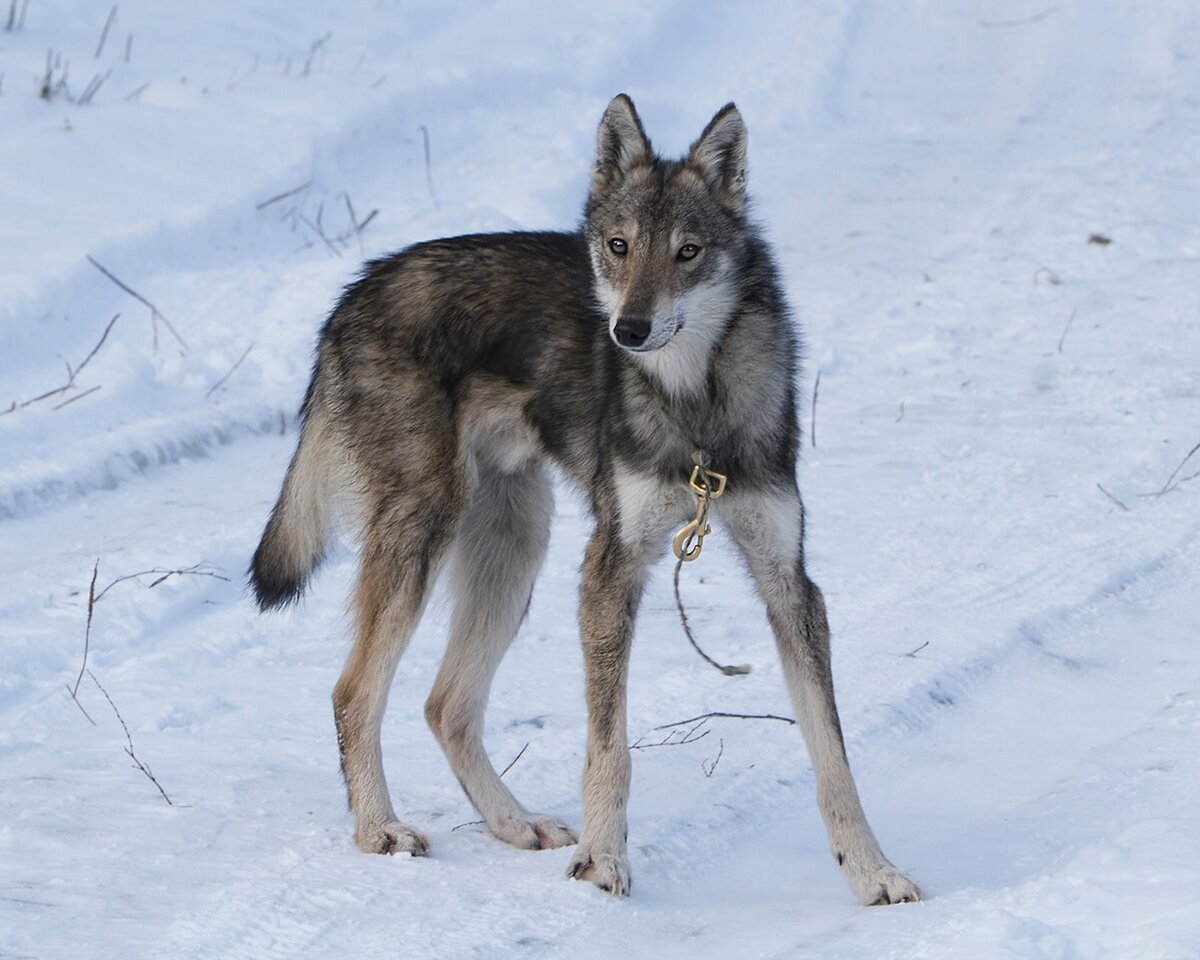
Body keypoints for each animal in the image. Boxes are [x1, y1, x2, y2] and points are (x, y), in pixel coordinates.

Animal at [250, 93, 916, 902]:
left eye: (688, 252)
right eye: (620, 246)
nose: (628, 329)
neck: (695, 405)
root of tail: (352, 294)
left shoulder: (787, 580)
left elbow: (833, 757)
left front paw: (873, 871)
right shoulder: (612, 566)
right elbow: (610, 748)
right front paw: (603, 860)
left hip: (515, 546)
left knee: (445, 704)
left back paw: (513, 823)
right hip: (427, 535)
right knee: (354, 694)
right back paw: (379, 829)